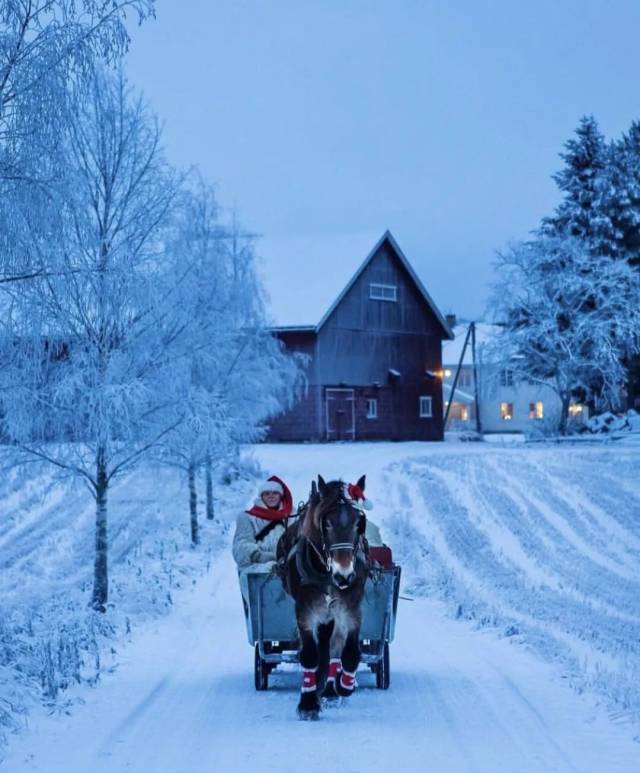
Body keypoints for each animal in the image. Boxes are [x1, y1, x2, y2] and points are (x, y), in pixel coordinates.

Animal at [276, 474, 370, 720]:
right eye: (326, 523)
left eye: (358, 523)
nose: (344, 575)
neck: (327, 575)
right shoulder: (305, 610)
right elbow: (310, 654)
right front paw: (308, 703)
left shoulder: (351, 607)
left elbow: (350, 652)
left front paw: (344, 685)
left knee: (334, 645)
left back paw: (329, 688)